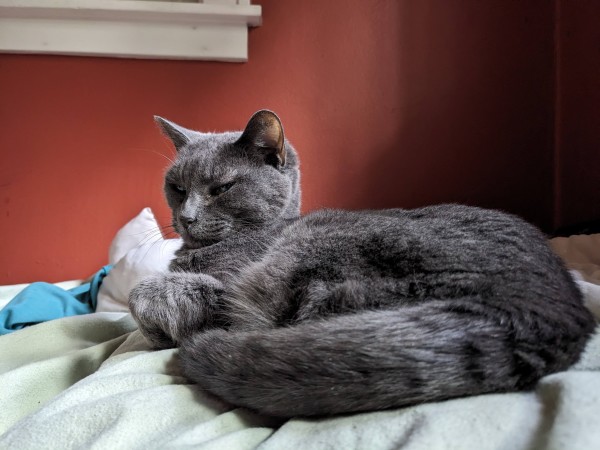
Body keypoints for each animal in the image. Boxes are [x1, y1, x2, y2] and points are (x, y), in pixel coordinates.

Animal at [130, 110, 596, 418]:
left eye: (223, 188)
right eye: (176, 187)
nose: (186, 217)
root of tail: (543, 308)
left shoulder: (229, 286)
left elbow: (148, 293)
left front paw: (156, 318)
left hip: (313, 256)